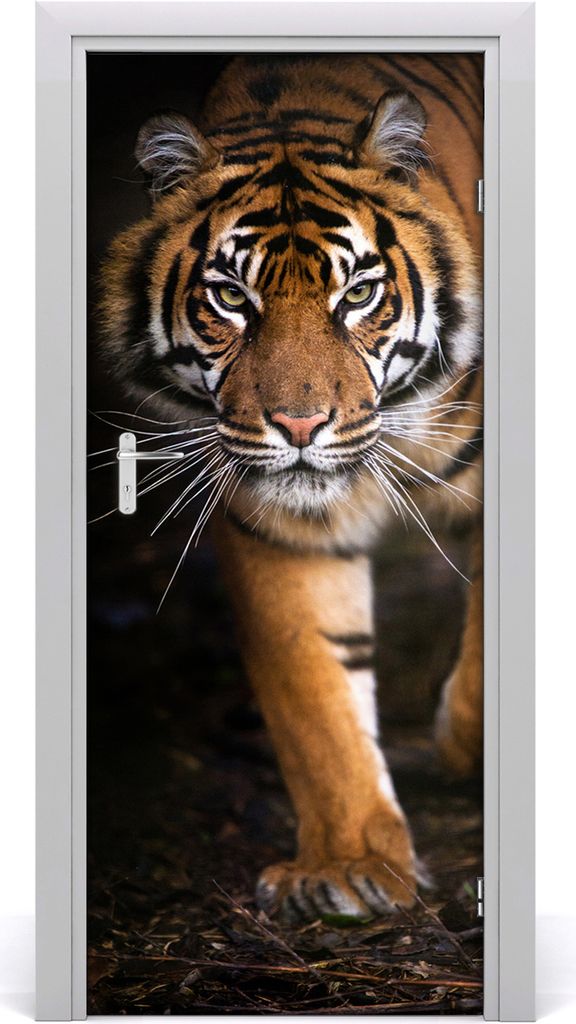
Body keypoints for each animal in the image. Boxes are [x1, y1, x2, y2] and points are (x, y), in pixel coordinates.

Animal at [98, 53, 484, 922]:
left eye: (358, 295)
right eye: (231, 299)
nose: (300, 426)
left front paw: (461, 746)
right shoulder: (276, 522)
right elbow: (315, 692)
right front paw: (349, 866)